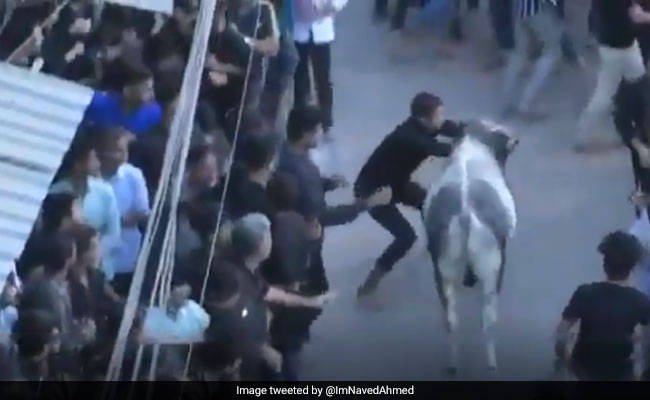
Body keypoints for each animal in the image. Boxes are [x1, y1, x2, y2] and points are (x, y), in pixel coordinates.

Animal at [422, 119, 519, 374]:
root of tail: (465, 216)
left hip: (444, 272)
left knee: (451, 320)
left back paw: (453, 365)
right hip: (491, 272)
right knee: (488, 318)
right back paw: (491, 363)